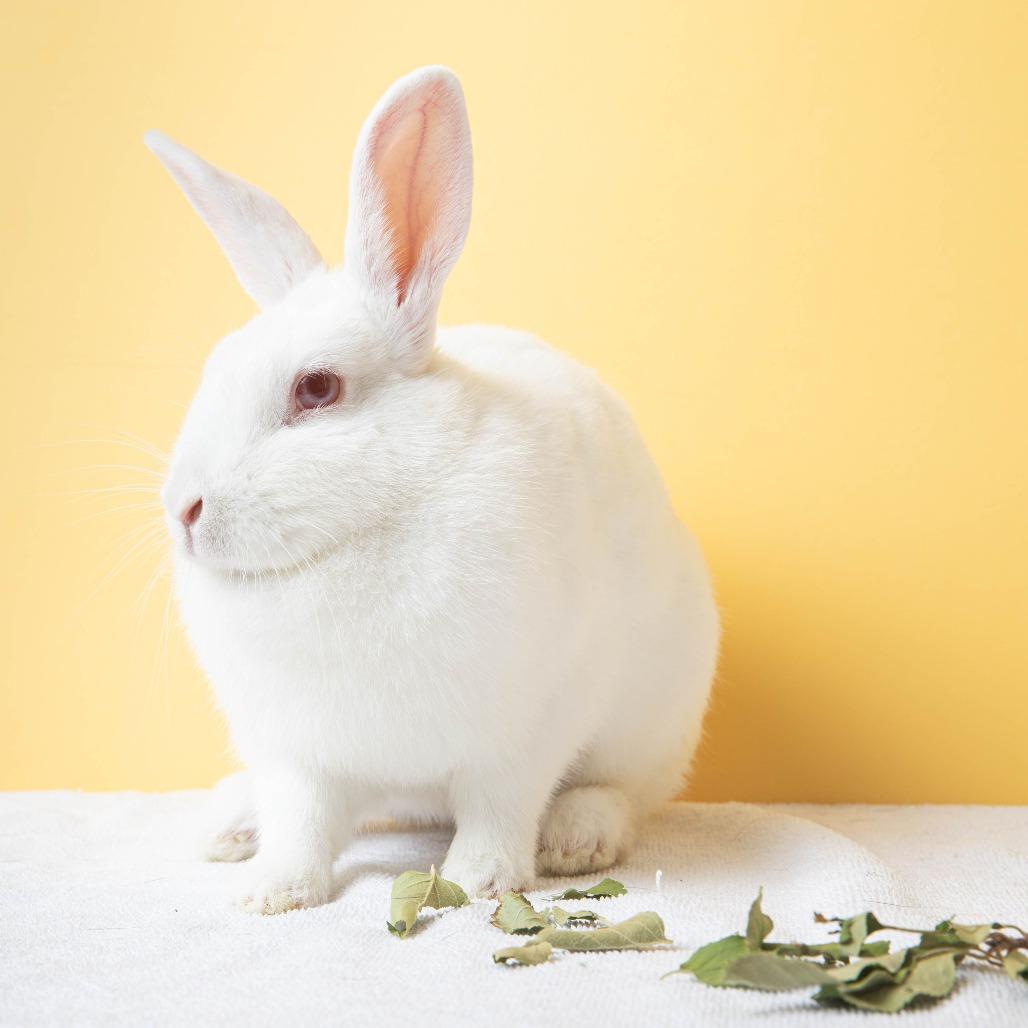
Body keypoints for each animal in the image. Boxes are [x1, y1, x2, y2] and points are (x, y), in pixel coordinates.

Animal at [147, 66, 719, 915]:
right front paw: (274, 891)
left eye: (317, 389)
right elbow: (302, 823)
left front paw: (482, 879)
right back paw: (229, 825)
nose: (183, 510)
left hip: (653, 721)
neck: (364, 531)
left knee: (623, 792)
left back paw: (574, 838)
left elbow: (499, 806)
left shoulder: (524, 730)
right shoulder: (296, 753)